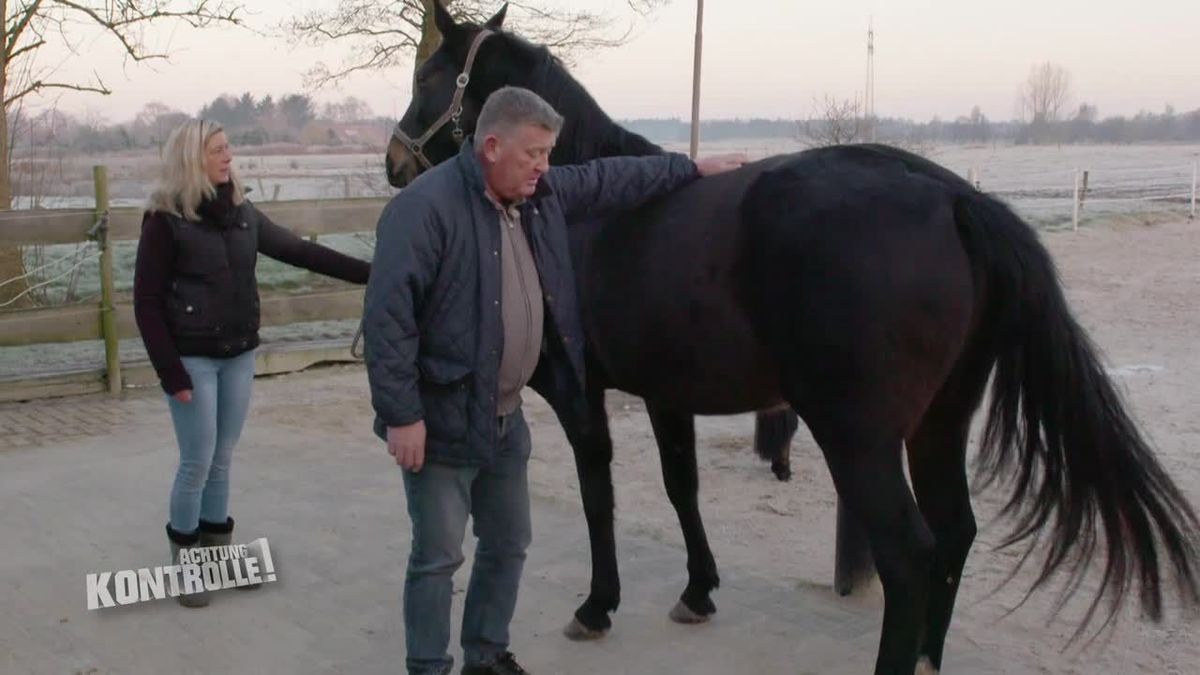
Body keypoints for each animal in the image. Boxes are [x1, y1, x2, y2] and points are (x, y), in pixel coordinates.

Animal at [384, 6, 1200, 672]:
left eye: (427, 75)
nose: (394, 162)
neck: (587, 208)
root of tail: (955, 199)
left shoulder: (578, 391)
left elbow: (597, 496)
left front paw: (597, 604)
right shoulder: (666, 393)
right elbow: (682, 487)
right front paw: (698, 590)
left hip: (857, 434)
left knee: (910, 554)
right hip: (939, 422)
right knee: (955, 530)